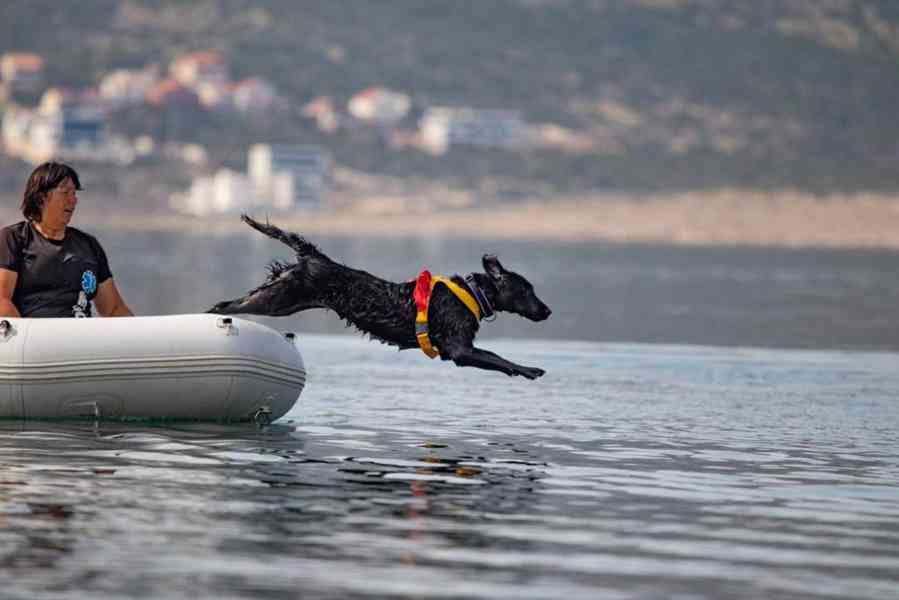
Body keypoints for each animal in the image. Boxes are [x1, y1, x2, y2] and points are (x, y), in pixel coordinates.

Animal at [208, 217, 552, 380]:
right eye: (527, 290)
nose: (548, 311)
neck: (472, 293)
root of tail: (315, 257)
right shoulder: (459, 350)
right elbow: (497, 357)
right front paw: (528, 369)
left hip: (280, 296)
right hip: (276, 300)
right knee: (224, 305)